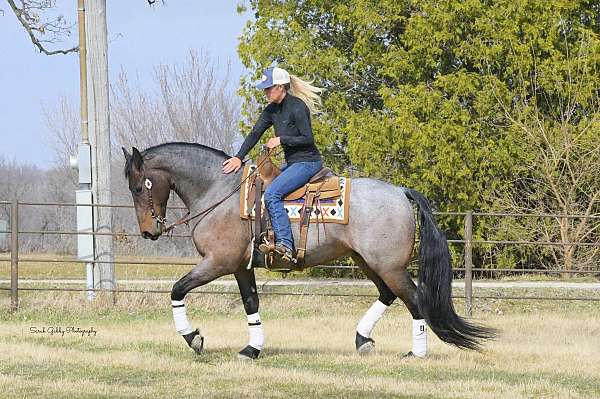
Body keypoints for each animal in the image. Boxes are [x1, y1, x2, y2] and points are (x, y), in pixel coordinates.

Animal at [123, 143, 496, 360]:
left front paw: (194, 339)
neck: (220, 192)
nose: (148, 231)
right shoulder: (242, 267)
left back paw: (415, 353)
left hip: (388, 265)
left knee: (414, 300)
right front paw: (252, 348)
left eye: (139, 186)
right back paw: (363, 340)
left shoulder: (218, 263)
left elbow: (177, 289)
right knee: (389, 295)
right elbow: (251, 304)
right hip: (368, 261)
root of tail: (401, 191)